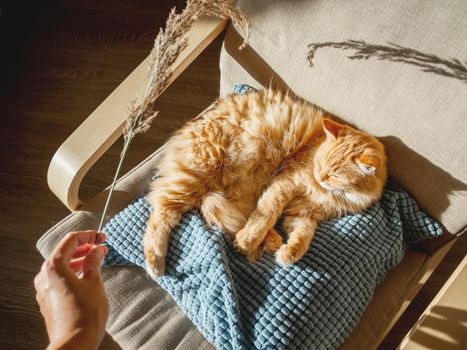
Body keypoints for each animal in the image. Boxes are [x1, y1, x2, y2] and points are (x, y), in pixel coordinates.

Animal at [145, 88, 388, 276]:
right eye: (320, 163)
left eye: (335, 174)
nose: (320, 176)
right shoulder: (286, 183)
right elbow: (266, 214)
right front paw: (249, 240)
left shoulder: (305, 214)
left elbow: (303, 237)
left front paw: (288, 254)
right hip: (197, 175)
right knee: (161, 213)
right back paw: (155, 262)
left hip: (231, 191)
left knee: (237, 216)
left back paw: (272, 241)